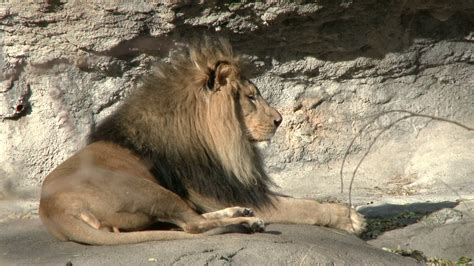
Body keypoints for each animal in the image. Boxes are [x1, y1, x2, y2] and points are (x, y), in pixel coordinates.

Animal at [40, 38, 366, 245]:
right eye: (251, 97)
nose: (279, 120)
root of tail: (53, 210)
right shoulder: (215, 191)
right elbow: (303, 206)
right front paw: (351, 219)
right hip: (148, 190)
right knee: (192, 224)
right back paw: (246, 223)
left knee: (190, 220)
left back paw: (239, 214)